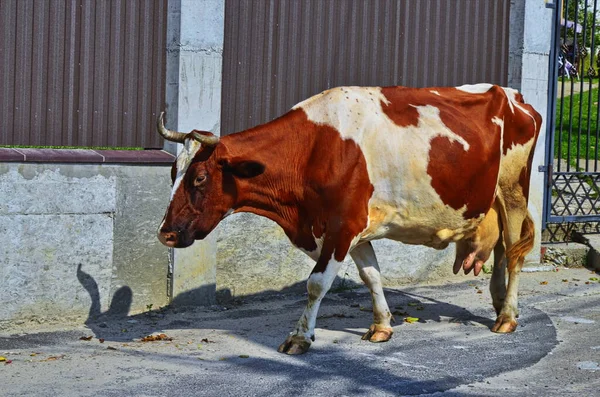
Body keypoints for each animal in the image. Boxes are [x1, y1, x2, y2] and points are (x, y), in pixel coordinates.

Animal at [157, 83, 540, 352]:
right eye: (173, 171)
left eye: (200, 178)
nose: (165, 234)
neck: (314, 148)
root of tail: (513, 95)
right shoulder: (354, 228)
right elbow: (371, 275)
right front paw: (382, 325)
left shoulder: (343, 225)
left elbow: (317, 283)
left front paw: (300, 337)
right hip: (494, 199)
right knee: (503, 251)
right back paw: (500, 304)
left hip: (513, 191)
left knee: (514, 253)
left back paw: (507, 315)